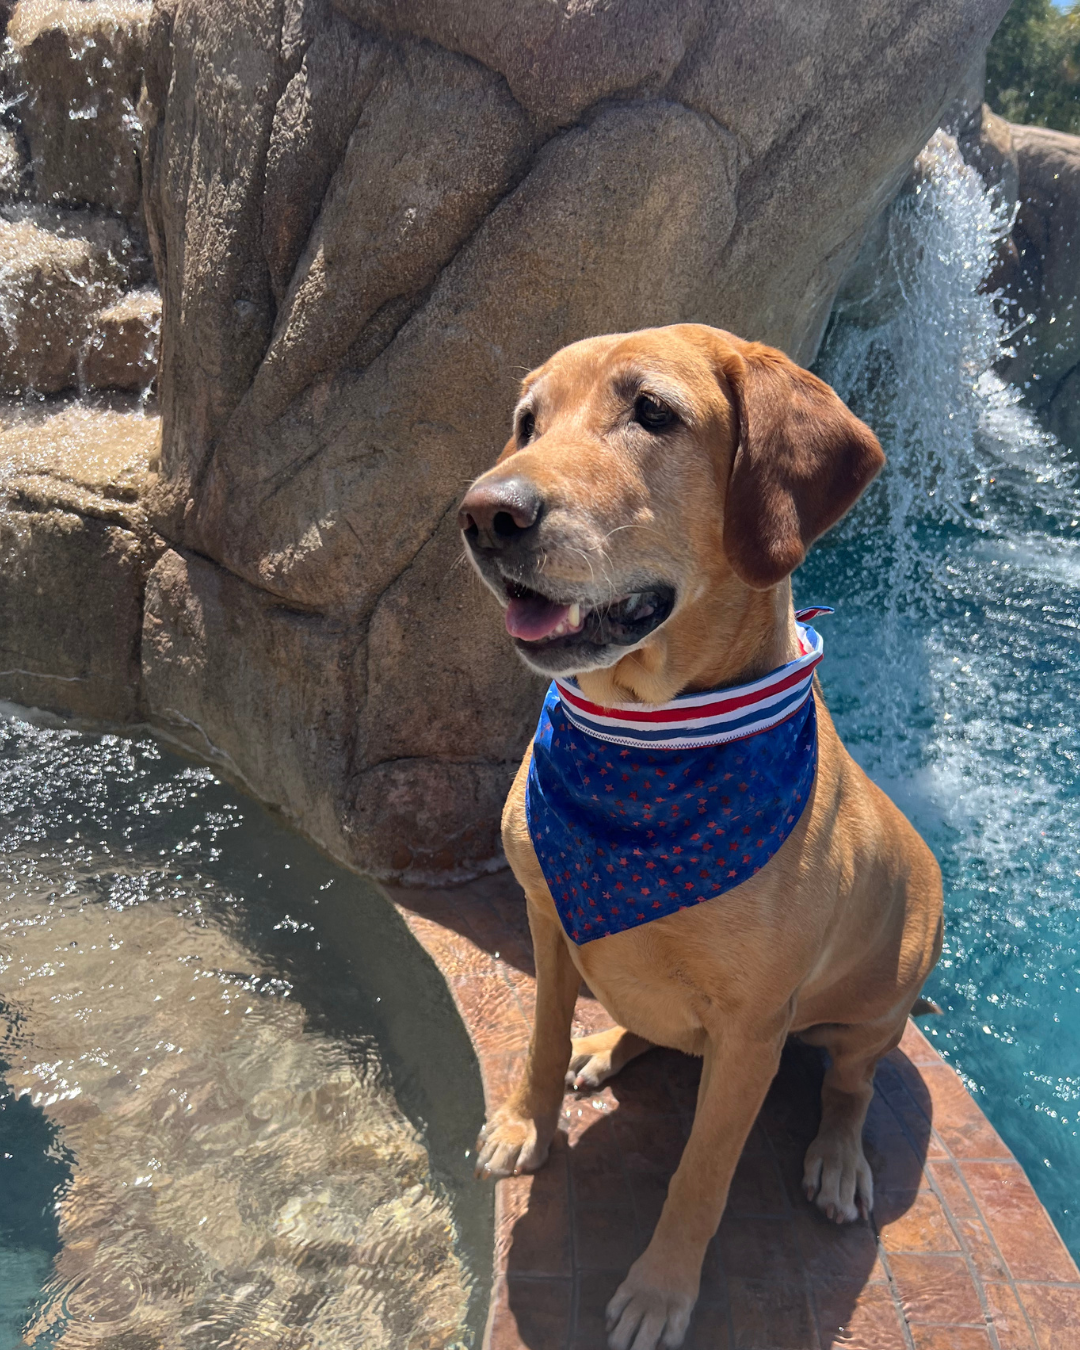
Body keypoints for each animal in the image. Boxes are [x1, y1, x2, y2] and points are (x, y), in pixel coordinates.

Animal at [459, 326, 939, 1350]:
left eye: (653, 412)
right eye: (527, 421)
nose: (485, 514)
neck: (645, 735)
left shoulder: (754, 1031)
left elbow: (703, 1174)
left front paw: (661, 1291)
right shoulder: (548, 926)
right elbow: (541, 1040)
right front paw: (524, 1122)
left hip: (880, 1002)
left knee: (852, 1085)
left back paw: (837, 1158)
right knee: (657, 1031)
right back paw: (610, 1047)